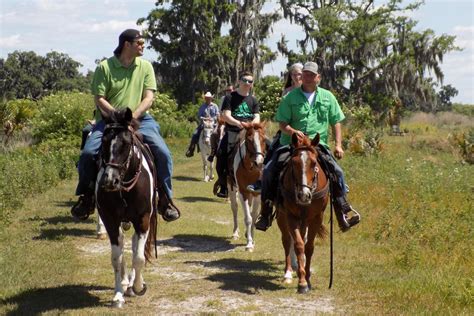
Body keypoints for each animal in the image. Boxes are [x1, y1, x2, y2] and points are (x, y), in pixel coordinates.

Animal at [96, 108, 157, 306]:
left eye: (126, 143)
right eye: (104, 142)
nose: (110, 180)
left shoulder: (143, 218)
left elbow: (138, 257)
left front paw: (138, 286)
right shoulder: (109, 219)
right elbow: (116, 257)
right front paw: (118, 295)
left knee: (137, 246)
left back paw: (132, 284)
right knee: (124, 244)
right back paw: (124, 283)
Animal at [229, 121, 266, 252]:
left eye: (263, 139)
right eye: (249, 140)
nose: (259, 162)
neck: (250, 169)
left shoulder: (257, 194)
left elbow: (253, 216)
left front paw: (252, 239)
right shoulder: (243, 192)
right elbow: (248, 218)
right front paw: (249, 244)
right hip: (231, 187)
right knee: (234, 208)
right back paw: (235, 232)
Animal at [276, 132, 328, 292]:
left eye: (314, 163)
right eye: (294, 163)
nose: (304, 195)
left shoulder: (317, 217)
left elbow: (309, 247)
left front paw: (308, 278)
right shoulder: (291, 216)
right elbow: (298, 245)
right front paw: (302, 282)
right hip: (281, 217)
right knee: (287, 241)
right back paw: (288, 273)